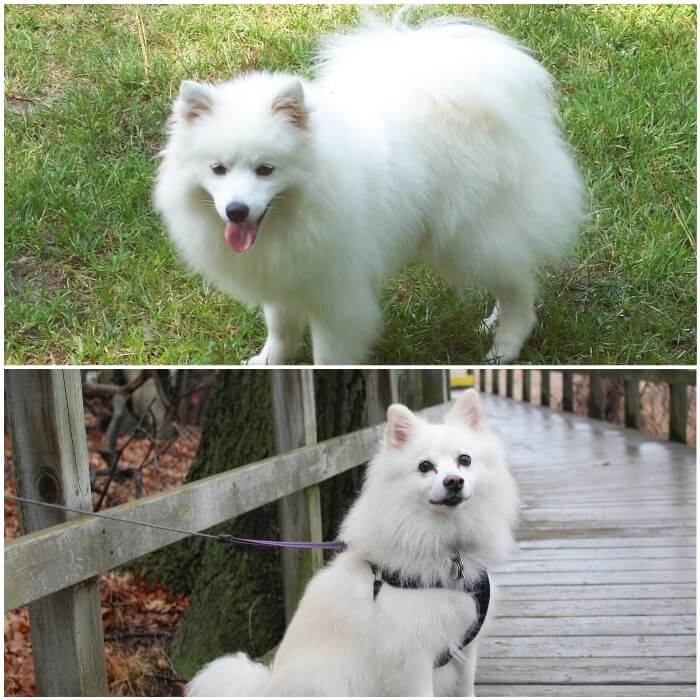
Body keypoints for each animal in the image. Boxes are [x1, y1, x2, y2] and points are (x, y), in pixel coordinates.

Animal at [154, 12, 584, 366]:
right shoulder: (287, 278)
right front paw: (266, 363)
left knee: (519, 290)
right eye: (218, 169)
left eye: (265, 170)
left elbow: (330, 356)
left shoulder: (338, 296)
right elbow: (280, 331)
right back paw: (491, 323)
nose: (237, 210)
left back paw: (504, 348)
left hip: (469, 238)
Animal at [187, 392, 520, 696]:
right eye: (425, 466)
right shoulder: (413, 656)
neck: (446, 545)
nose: (454, 482)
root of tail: (265, 690)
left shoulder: (465, 640)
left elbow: (466, 687)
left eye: (465, 460)